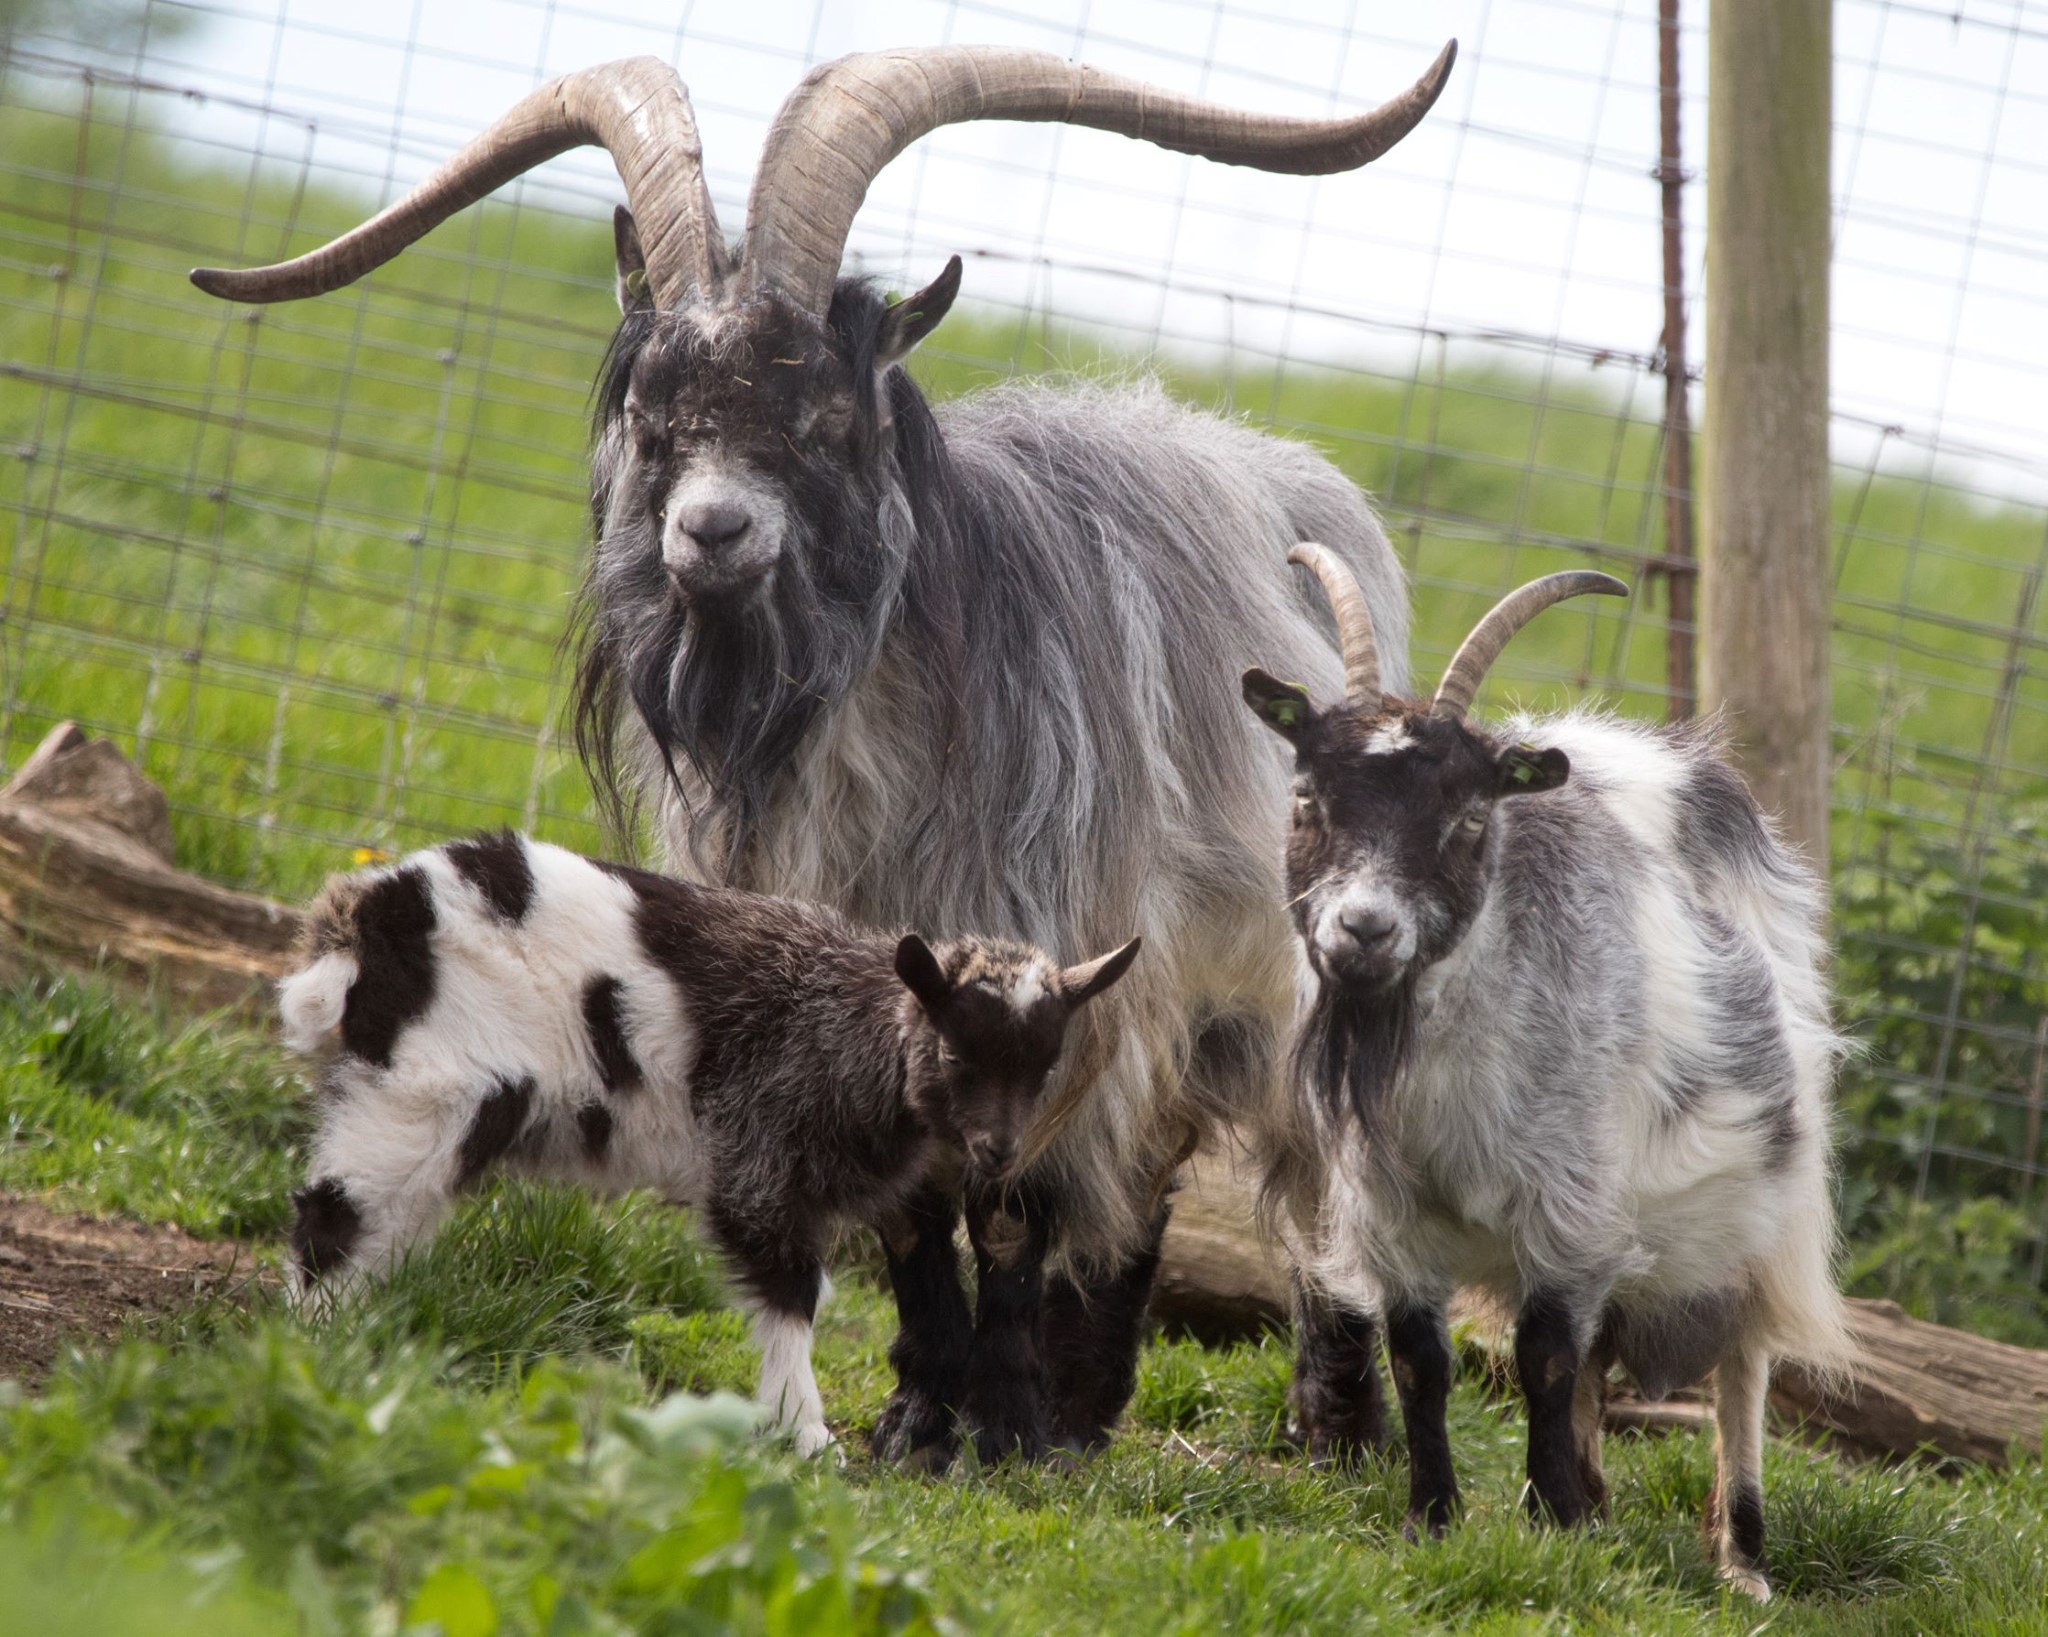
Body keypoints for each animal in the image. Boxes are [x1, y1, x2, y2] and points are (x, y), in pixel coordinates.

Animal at [276, 840, 1138, 1466]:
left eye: (1045, 1066)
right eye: (957, 1053)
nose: (999, 1151)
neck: (844, 1025)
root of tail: (359, 923)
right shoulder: (760, 1157)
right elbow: (792, 1290)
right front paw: (805, 1433)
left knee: (388, 1219)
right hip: (421, 1089)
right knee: (337, 1214)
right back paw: (321, 1346)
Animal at [1236, 549, 1851, 1598]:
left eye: (1467, 820)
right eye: (1308, 798)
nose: (1363, 929)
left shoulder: (1567, 1208)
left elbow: (1546, 1356)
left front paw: (1551, 1519)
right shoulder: (1394, 1215)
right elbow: (1422, 1360)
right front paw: (1438, 1519)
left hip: (1768, 1202)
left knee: (1743, 1366)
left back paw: (1741, 1556)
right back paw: (1602, 1497)